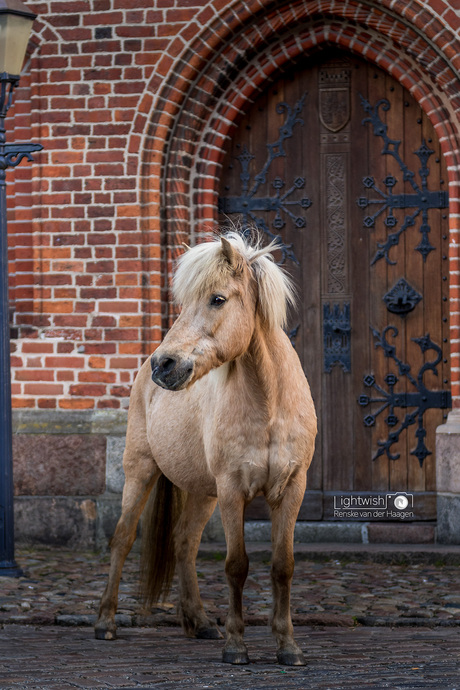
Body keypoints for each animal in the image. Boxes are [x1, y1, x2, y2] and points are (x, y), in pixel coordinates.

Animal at [93, 234, 316, 664]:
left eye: (217, 299)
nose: (163, 365)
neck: (270, 408)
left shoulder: (291, 489)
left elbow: (283, 566)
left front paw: (288, 645)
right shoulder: (232, 489)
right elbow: (236, 565)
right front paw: (236, 646)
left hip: (201, 492)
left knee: (184, 542)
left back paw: (199, 622)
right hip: (141, 471)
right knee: (123, 539)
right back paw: (105, 623)